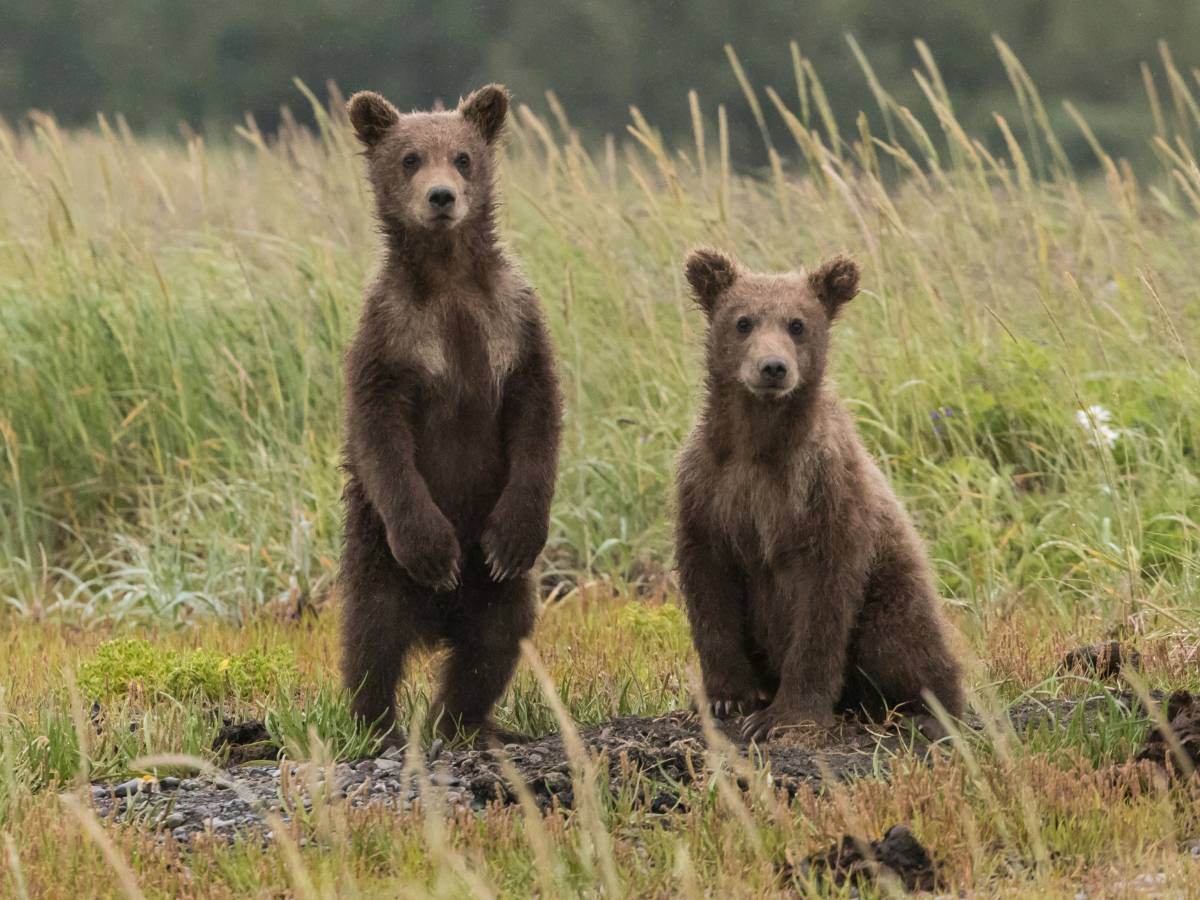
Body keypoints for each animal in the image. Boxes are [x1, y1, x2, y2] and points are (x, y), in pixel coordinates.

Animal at [338, 84, 562, 746]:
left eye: (462, 157)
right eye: (410, 158)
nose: (442, 197)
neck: (449, 278)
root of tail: (437, 622)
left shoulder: (513, 323)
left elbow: (537, 416)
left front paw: (514, 536)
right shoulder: (390, 336)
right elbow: (382, 435)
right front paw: (436, 550)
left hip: (496, 593)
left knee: (493, 641)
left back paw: (469, 723)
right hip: (376, 556)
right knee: (372, 638)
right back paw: (377, 726)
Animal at [674, 248, 965, 741]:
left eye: (797, 324)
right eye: (743, 321)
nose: (773, 367)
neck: (760, 444)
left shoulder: (824, 492)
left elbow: (822, 608)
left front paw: (784, 716)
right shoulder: (709, 489)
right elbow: (710, 589)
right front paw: (728, 697)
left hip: (893, 591)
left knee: (904, 644)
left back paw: (928, 712)